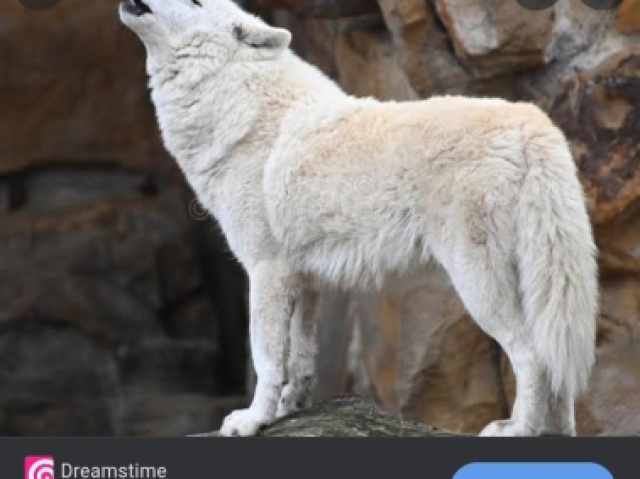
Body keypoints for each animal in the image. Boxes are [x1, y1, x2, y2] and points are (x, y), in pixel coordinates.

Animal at [120, 0, 600, 436]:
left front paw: (253, 420)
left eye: (195, 0)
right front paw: (289, 410)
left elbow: (266, 357)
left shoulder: (266, 270)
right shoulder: (303, 277)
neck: (241, 104)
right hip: (534, 281)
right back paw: (554, 433)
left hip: (477, 284)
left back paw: (517, 429)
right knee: (555, 362)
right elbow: (301, 357)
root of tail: (532, 122)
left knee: (533, 356)